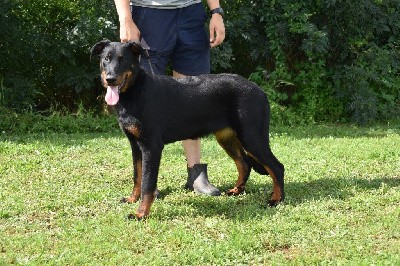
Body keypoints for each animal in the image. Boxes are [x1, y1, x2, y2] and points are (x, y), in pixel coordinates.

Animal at [90, 39, 284, 218]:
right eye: (106, 59)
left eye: (123, 59)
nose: (110, 79)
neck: (136, 90)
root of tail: (260, 91)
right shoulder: (135, 145)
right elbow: (137, 176)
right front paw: (132, 199)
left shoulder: (151, 147)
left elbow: (147, 183)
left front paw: (141, 213)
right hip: (227, 137)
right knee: (244, 164)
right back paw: (236, 191)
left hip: (251, 137)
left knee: (276, 166)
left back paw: (276, 199)